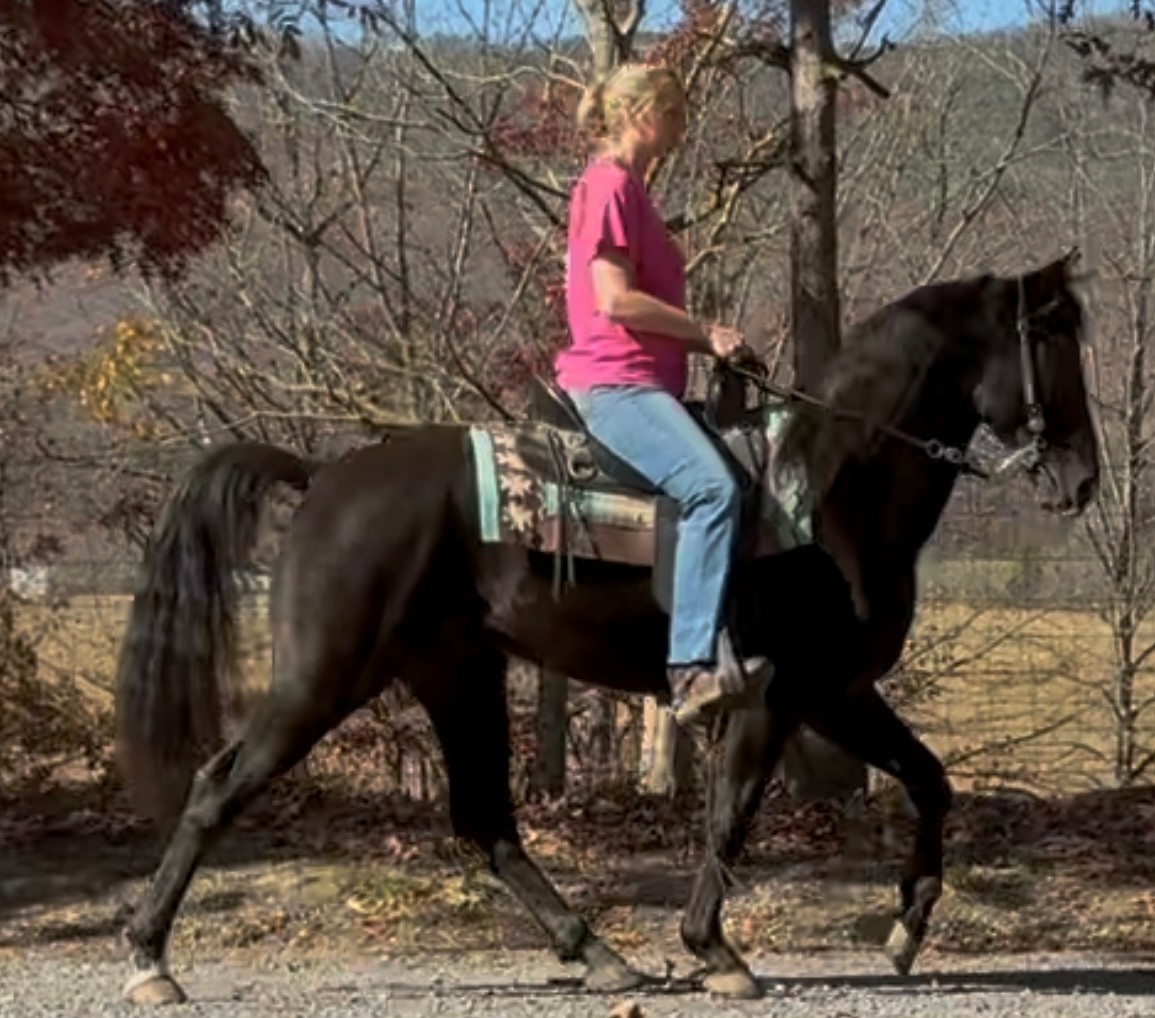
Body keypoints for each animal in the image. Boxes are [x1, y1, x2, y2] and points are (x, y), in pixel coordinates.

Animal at [113, 252, 1098, 1004]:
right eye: (1050, 341)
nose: (1081, 479)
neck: (824, 489)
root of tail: (323, 478)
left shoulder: (836, 691)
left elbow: (930, 781)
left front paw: (904, 928)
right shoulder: (778, 697)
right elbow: (731, 814)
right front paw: (714, 951)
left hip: (454, 673)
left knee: (485, 822)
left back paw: (597, 953)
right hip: (324, 678)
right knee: (216, 788)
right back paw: (150, 958)